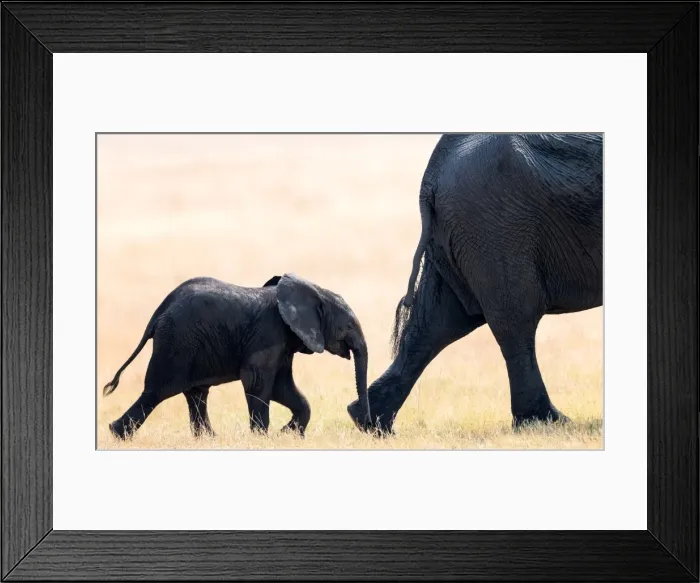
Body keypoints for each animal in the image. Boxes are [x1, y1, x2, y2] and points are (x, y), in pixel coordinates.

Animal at [104, 273, 370, 439]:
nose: (366, 425)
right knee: (156, 391)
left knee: (196, 394)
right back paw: (116, 434)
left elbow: (282, 388)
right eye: (348, 326)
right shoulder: (268, 335)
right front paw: (263, 437)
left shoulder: (285, 343)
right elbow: (257, 382)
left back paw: (208, 439)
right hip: (176, 344)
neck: (313, 290)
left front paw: (287, 434)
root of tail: (159, 311)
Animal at [348, 133, 602, 434]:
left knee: (436, 324)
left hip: (461, 231)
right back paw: (544, 422)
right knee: (514, 319)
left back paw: (371, 423)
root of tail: (431, 175)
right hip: (496, 225)